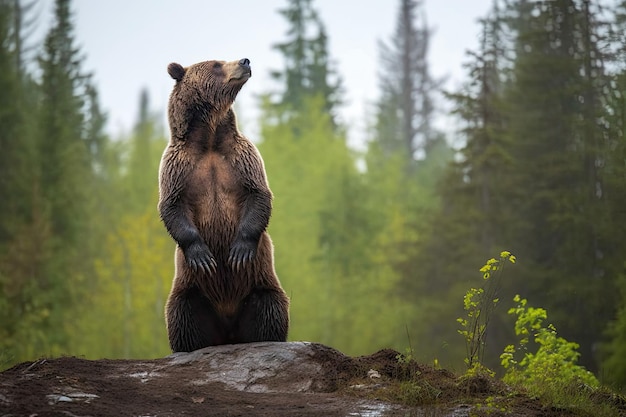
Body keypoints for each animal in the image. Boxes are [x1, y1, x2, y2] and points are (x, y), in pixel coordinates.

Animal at [158, 58, 290, 352]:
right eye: (216, 64)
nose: (245, 60)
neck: (208, 141)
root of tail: (228, 332)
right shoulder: (177, 166)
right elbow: (171, 206)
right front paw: (203, 256)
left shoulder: (242, 157)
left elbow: (259, 194)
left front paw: (239, 251)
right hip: (191, 292)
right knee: (183, 317)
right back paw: (187, 346)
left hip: (260, 286)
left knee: (271, 310)